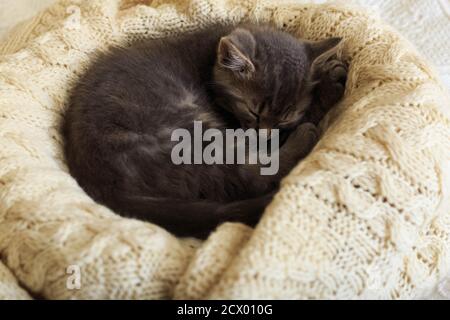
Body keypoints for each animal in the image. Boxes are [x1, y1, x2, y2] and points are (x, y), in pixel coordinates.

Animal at [61, 23, 346, 239]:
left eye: (285, 119)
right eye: (253, 112)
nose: (263, 135)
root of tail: (106, 189)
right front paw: (330, 84)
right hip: (192, 131)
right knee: (252, 175)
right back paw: (304, 137)